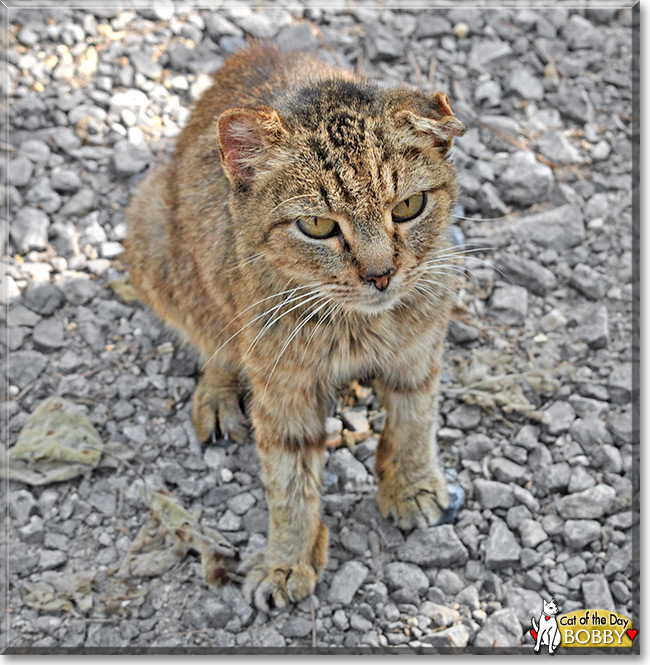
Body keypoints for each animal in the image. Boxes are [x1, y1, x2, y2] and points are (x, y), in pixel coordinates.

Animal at [124, 41, 464, 608]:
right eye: (318, 226)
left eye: (409, 207)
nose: (380, 275)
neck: (356, 327)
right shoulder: (283, 392)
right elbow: (287, 482)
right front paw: (287, 560)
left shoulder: (419, 352)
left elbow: (416, 422)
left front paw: (413, 484)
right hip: (151, 232)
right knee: (213, 341)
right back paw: (217, 393)